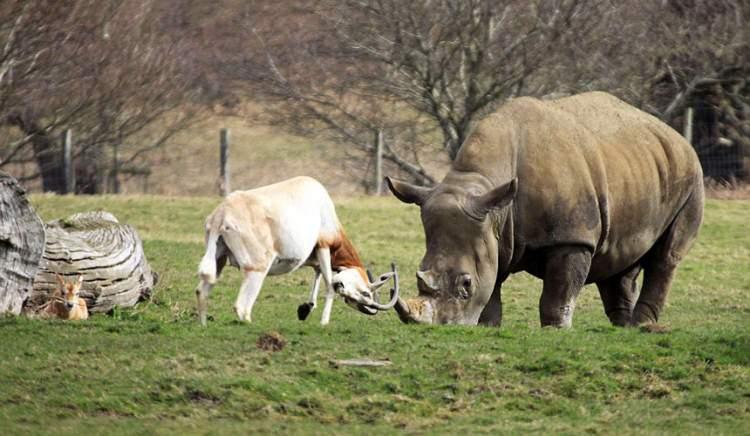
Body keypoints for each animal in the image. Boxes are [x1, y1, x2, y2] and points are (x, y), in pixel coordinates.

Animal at [197, 175, 402, 326]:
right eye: (366, 293)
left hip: (219, 260)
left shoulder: (316, 257)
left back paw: (203, 325)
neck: (322, 204)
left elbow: (318, 273)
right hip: (257, 269)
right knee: (241, 306)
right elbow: (328, 285)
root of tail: (221, 215)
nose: (342, 286)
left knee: (202, 290)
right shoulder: (324, 246)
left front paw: (305, 309)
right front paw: (323, 322)